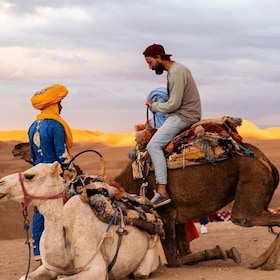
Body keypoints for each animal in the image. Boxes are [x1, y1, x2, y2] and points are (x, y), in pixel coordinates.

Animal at [0, 162, 160, 280]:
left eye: (30, 176)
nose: (1, 182)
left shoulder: (97, 268)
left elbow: (63, 278)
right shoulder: (48, 268)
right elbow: (24, 277)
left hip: (152, 247)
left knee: (141, 272)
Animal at [12, 141, 280, 270]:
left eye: (34, 174)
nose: (16, 147)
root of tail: (266, 161)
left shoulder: (166, 213)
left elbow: (174, 259)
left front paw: (224, 252)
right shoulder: (178, 217)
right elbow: (183, 253)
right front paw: (220, 252)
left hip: (250, 182)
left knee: (247, 217)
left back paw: (264, 263)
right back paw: (262, 262)